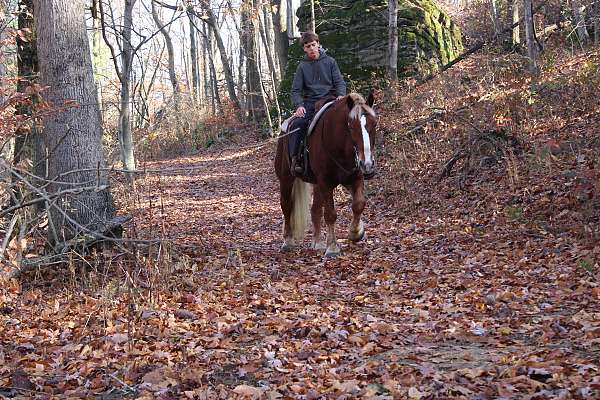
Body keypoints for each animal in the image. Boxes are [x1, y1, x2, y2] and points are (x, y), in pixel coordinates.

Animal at [274, 92, 378, 258]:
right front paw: (333, 248)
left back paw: (317, 242)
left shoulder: (354, 178)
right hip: (286, 179)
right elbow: (330, 214)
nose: (367, 164)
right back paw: (288, 241)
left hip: (316, 184)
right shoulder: (325, 182)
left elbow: (358, 204)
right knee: (287, 206)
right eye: (351, 126)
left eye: (374, 124)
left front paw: (356, 232)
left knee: (315, 209)